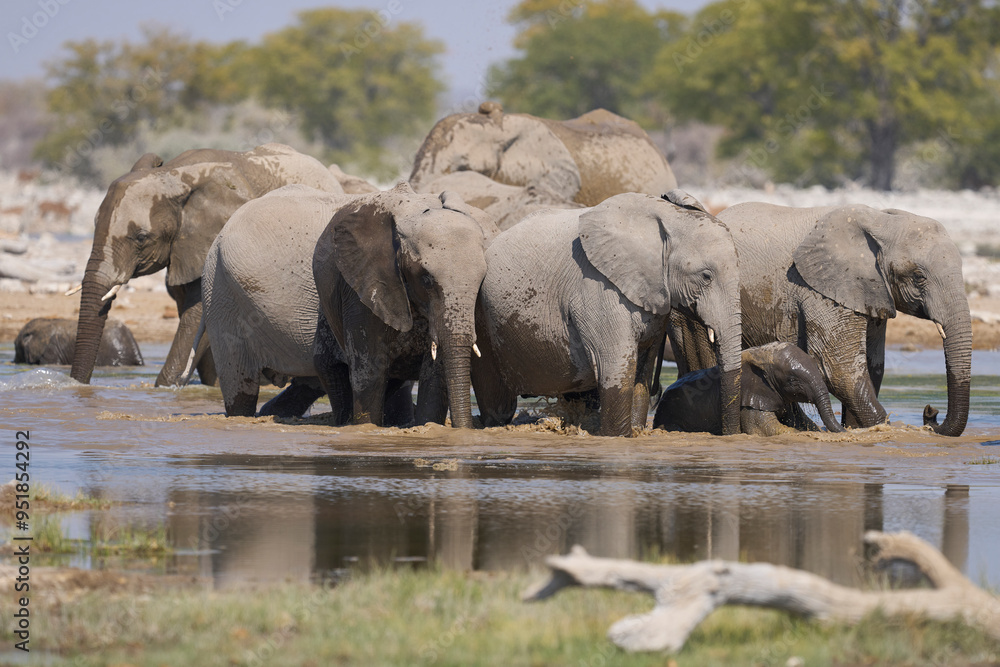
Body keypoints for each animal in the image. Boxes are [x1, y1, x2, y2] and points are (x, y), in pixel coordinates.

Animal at [70, 143, 346, 389]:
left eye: (141, 237)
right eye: (94, 224)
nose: (79, 386)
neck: (173, 174)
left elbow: (199, 313)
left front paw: (167, 388)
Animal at [312, 182, 499, 429]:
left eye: (481, 282)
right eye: (426, 279)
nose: (466, 428)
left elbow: (434, 375)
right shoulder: (362, 284)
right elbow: (370, 370)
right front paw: (366, 428)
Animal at [471, 191, 742, 437]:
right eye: (706, 276)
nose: (729, 434)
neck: (666, 217)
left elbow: (641, 375)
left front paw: (635, 430)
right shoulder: (598, 288)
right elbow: (615, 369)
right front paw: (618, 436)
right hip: (483, 317)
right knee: (496, 401)